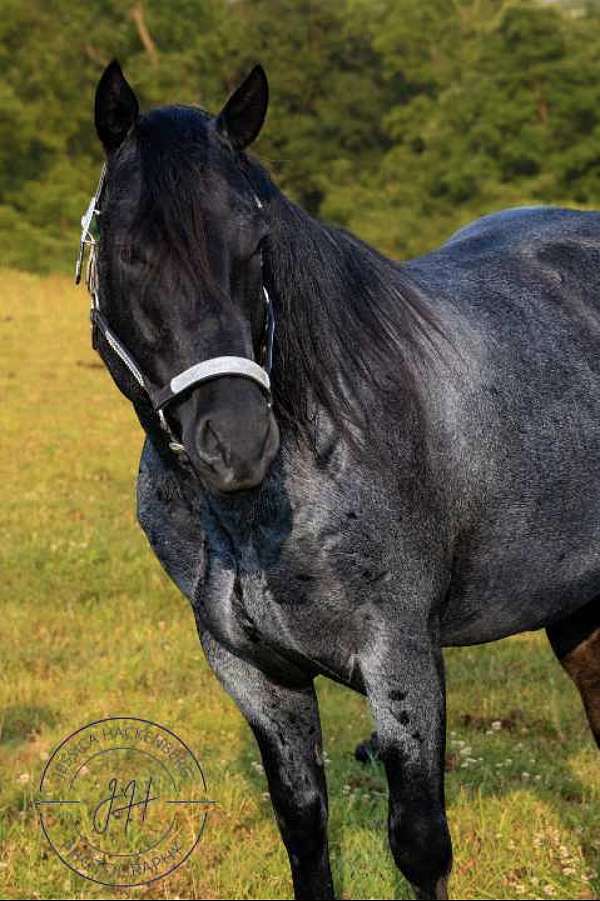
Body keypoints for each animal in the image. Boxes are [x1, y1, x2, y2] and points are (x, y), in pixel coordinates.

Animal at [81, 59, 600, 900]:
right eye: (128, 251)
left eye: (257, 241)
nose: (236, 440)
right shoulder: (255, 672)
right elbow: (304, 827)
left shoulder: (401, 660)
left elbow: (420, 845)